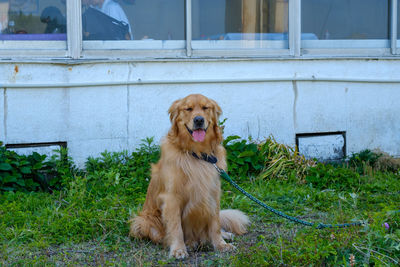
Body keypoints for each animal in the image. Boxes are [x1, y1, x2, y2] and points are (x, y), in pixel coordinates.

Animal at [130, 93, 248, 260]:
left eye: (205, 108)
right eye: (188, 109)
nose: (198, 120)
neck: (197, 154)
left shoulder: (213, 193)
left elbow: (215, 224)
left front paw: (221, 244)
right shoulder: (172, 198)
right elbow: (176, 227)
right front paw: (178, 249)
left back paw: (224, 235)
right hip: (143, 221)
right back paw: (190, 243)